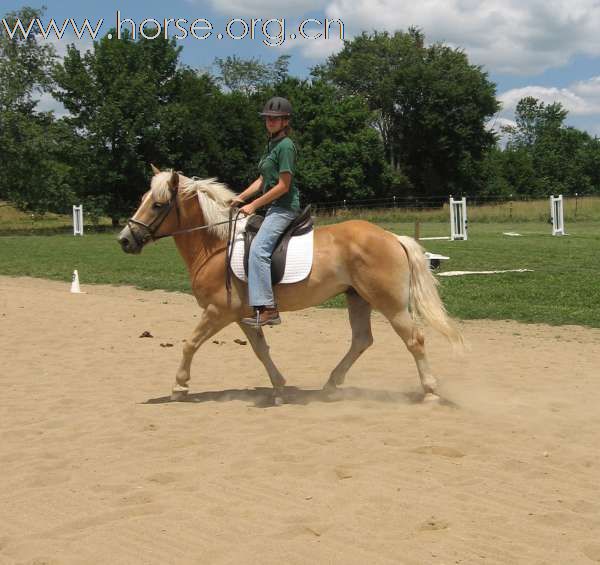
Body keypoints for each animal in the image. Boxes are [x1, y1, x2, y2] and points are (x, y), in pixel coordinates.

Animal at [118, 165, 464, 404]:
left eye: (158, 204)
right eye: (143, 199)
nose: (125, 240)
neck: (215, 245)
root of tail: (392, 237)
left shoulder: (217, 312)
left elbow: (190, 343)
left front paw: (179, 387)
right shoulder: (242, 316)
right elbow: (261, 350)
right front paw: (279, 388)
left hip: (388, 303)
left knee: (414, 340)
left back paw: (430, 392)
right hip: (357, 298)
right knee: (361, 340)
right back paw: (331, 385)